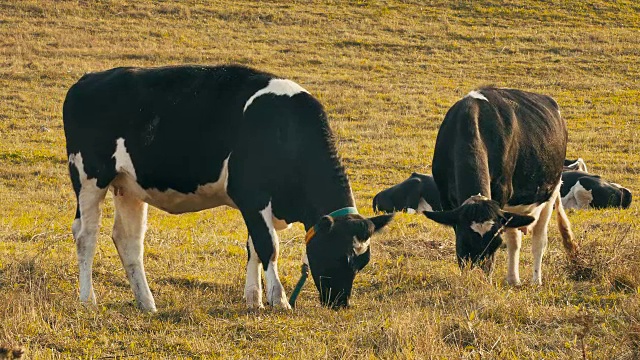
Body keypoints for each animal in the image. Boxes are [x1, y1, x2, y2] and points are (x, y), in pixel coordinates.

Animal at [66, 65, 396, 312]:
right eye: (339, 256)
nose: (339, 304)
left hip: (129, 187)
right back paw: (88, 299)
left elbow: (253, 247)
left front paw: (254, 300)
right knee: (86, 236)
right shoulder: (252, 195)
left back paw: (147, 303)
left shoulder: (256, 205)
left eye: (362, 262)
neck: (285, 129)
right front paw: (279, 300)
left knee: (128, 240)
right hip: (89, 178)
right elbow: (268, 246)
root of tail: (88, 79)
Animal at [422, 86, 576, 284]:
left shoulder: (502, 193)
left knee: (538, 240)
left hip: (550, 192)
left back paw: (536, 280)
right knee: (515, 240)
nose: (478, 280)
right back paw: (513, 279)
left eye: (495, 244)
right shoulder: (447, 201)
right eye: (464, 242)